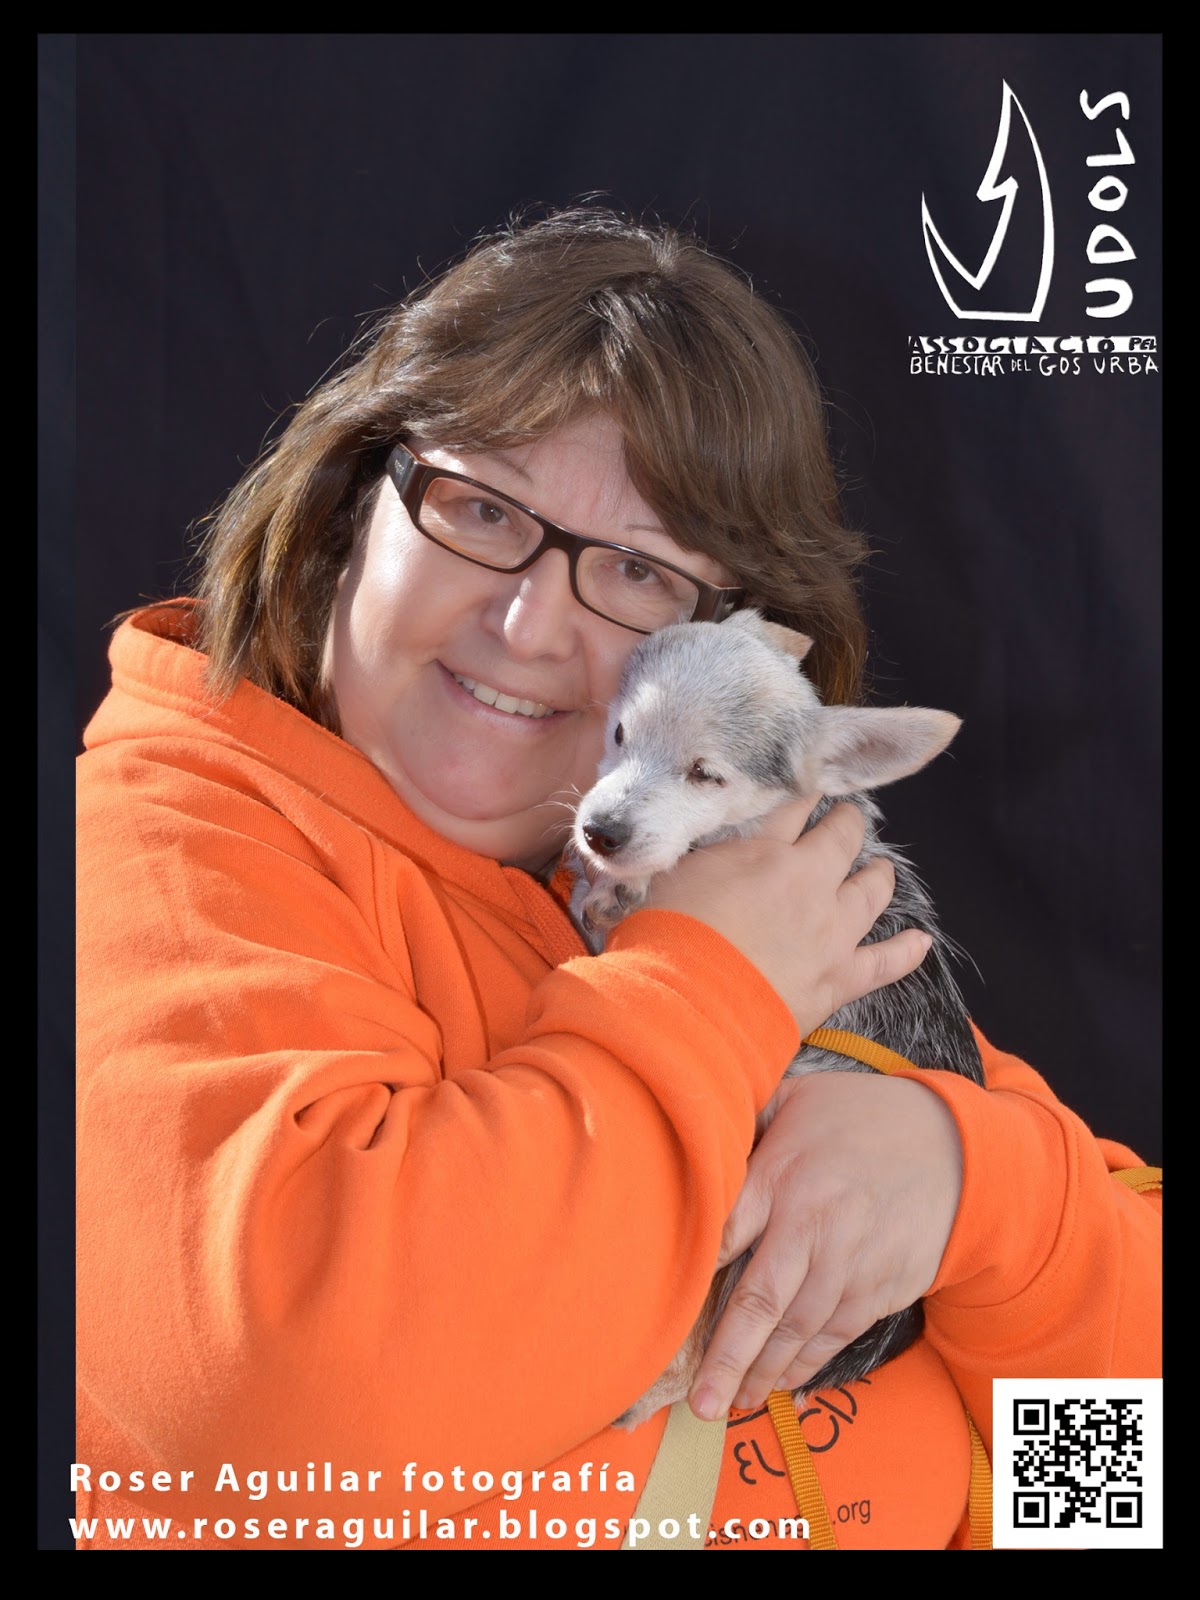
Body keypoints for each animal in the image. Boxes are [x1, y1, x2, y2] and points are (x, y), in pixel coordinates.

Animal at [569, 609, 984, 1429]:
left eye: (705, 775)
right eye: (620, 732)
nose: (600, 831)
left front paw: (612, 898)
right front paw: (600, 891)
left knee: (685, 1364)